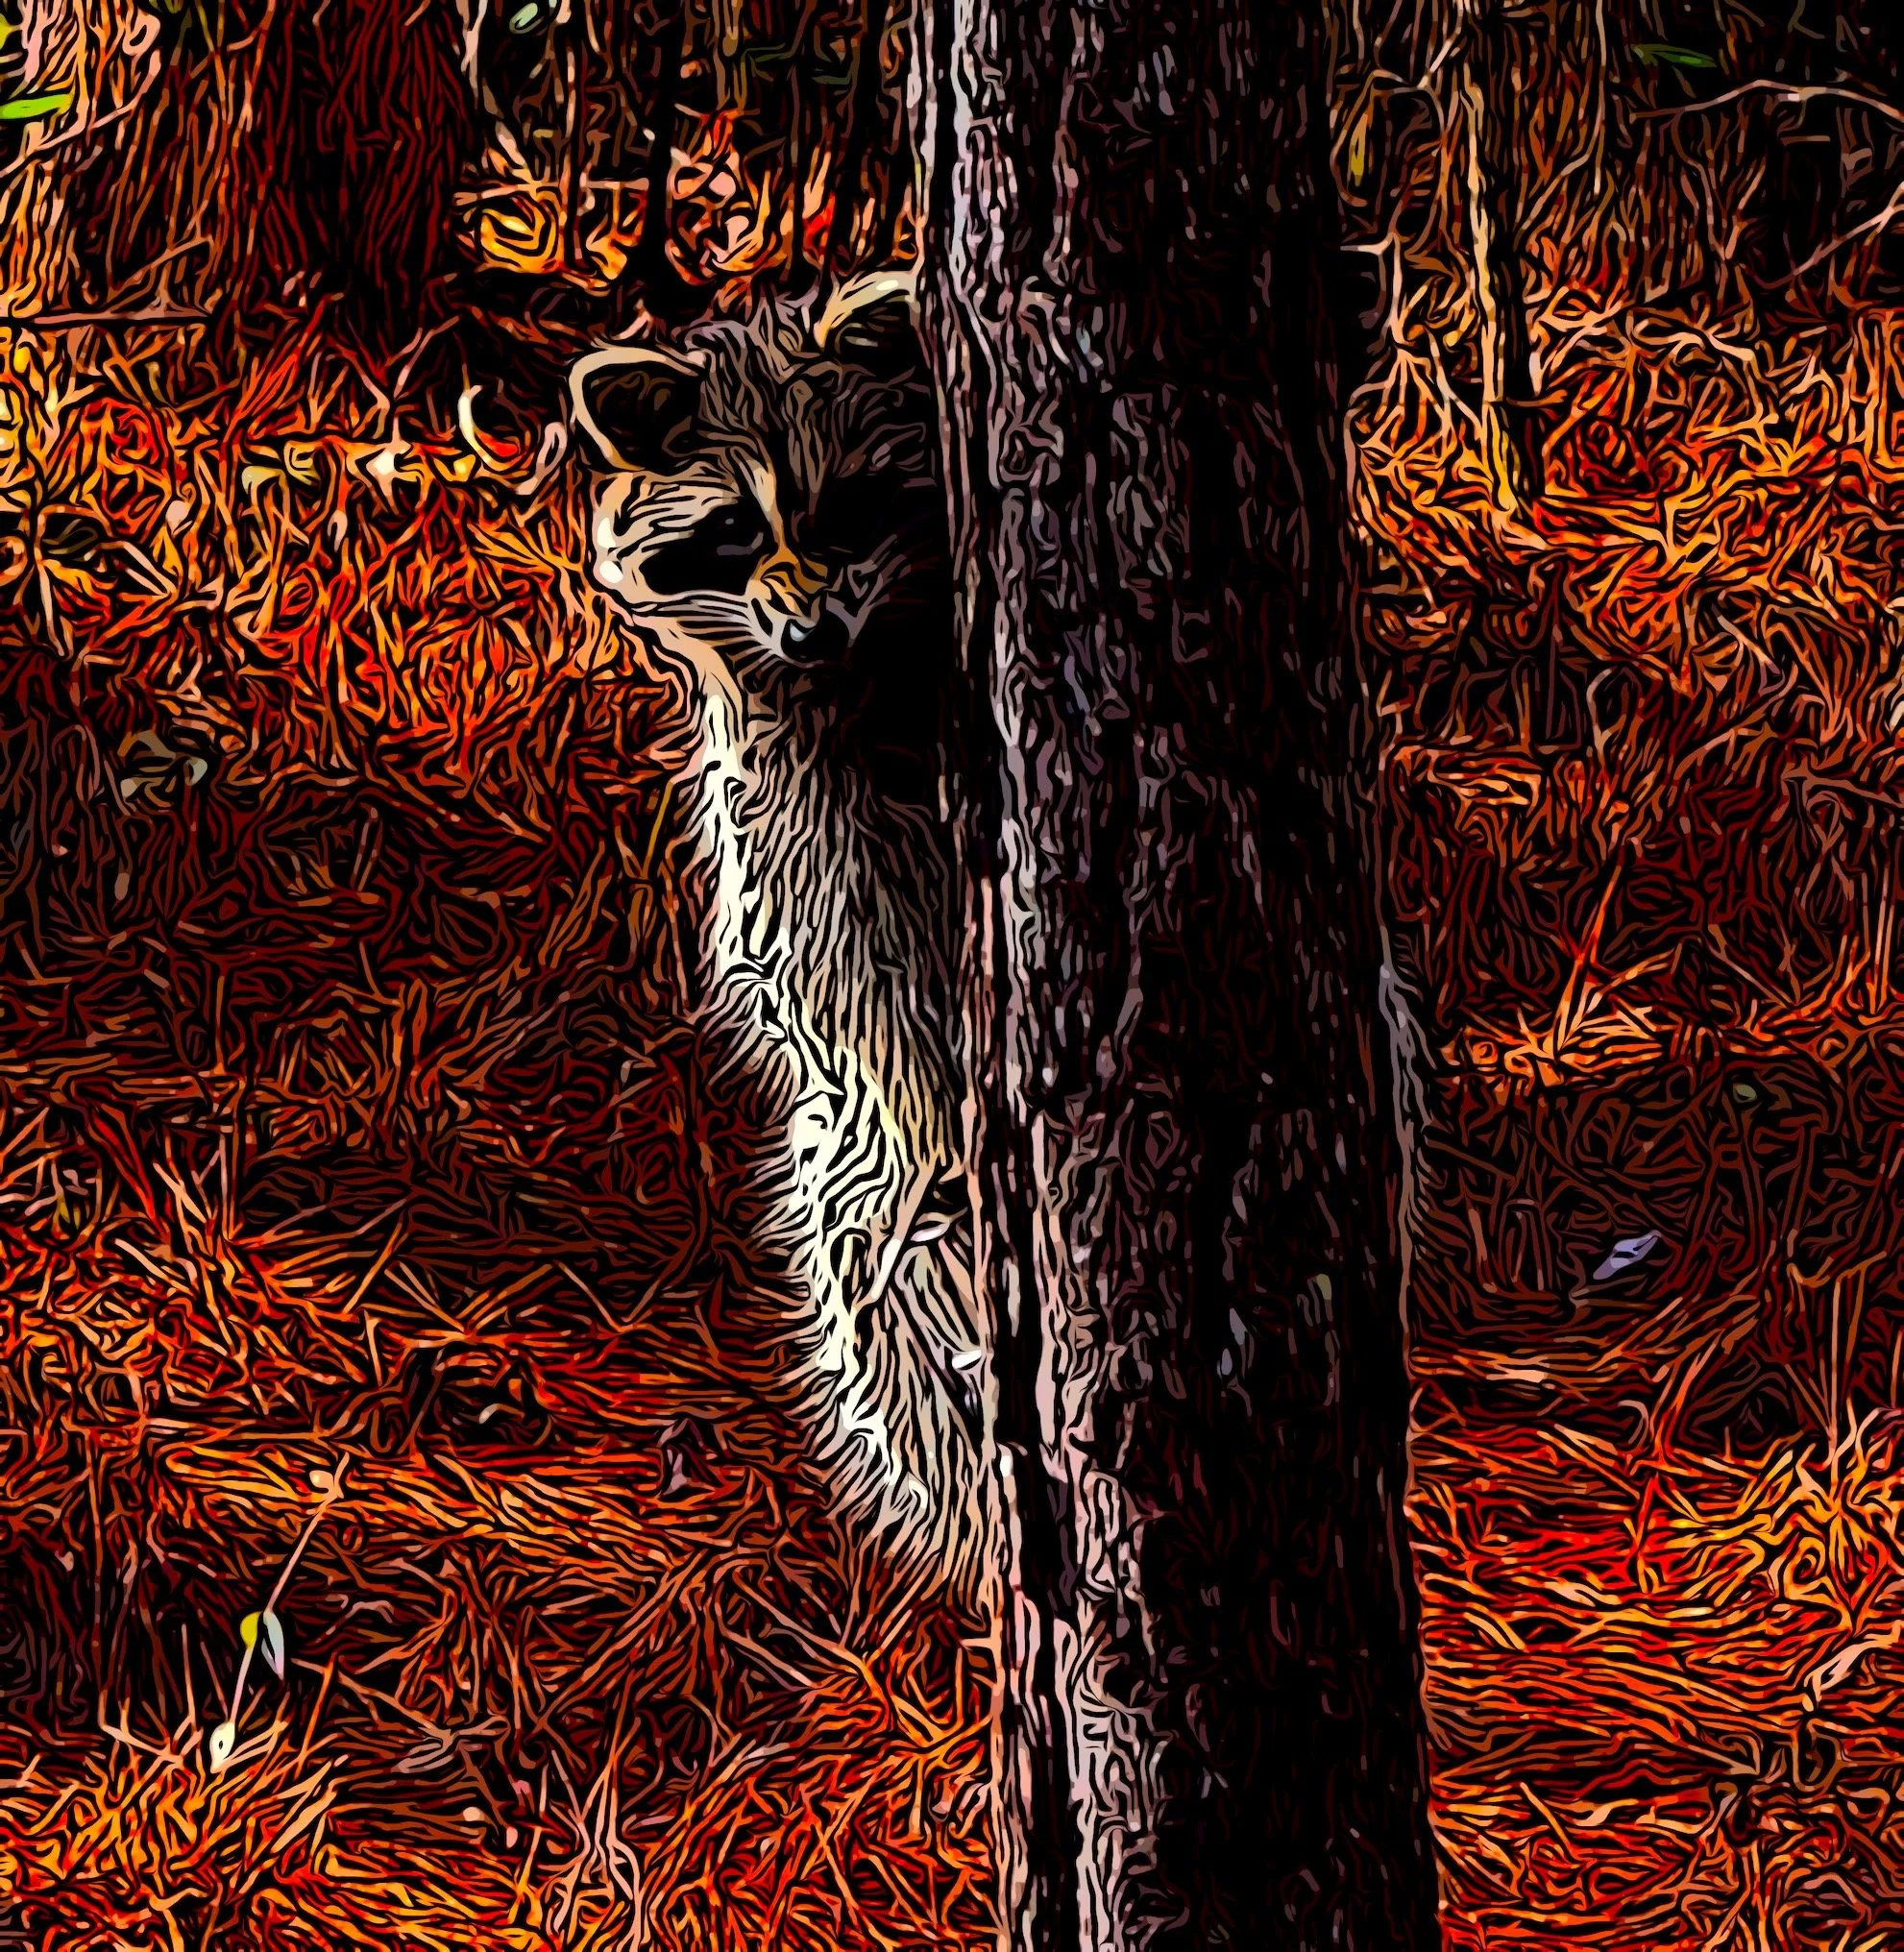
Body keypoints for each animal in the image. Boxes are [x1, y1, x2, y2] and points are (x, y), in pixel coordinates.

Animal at [571, 274, 984, 1594]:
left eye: (844, 504)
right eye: (733, 534)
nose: (809, 633)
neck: (851, 681)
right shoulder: (796, 824)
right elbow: (842, 971)